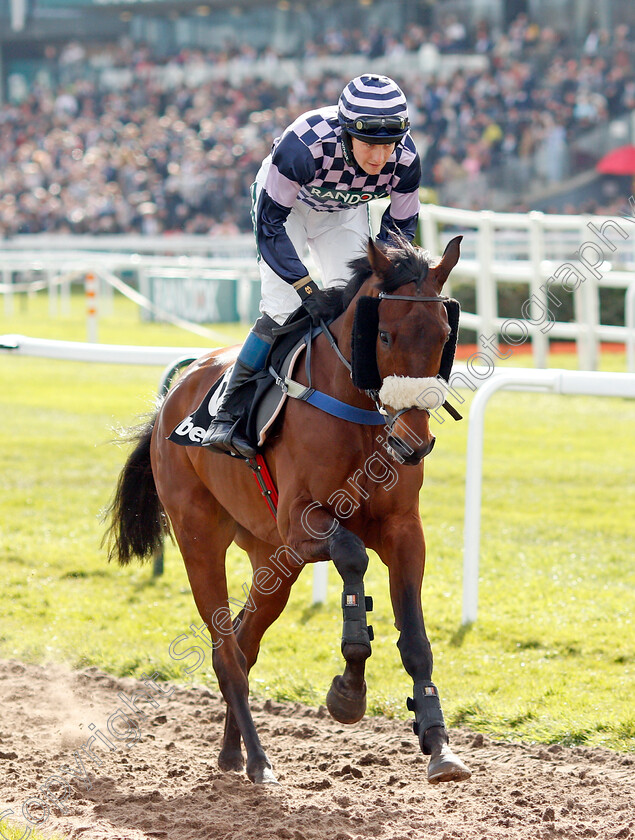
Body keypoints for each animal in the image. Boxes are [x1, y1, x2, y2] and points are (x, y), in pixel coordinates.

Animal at [105, 236, 472, 788]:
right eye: (384, 334)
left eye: (445, 336)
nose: (414, 439)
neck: (358, 414)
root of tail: (171, 398)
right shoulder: (300, 521)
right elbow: (352, 556)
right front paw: (348, 689)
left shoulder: (404, 529)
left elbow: (415, 638)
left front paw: (438, 742)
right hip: (200, 537)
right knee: (226, 651)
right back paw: (258, 760)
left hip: (272, 558)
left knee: (243, 640)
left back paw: (231, 753)